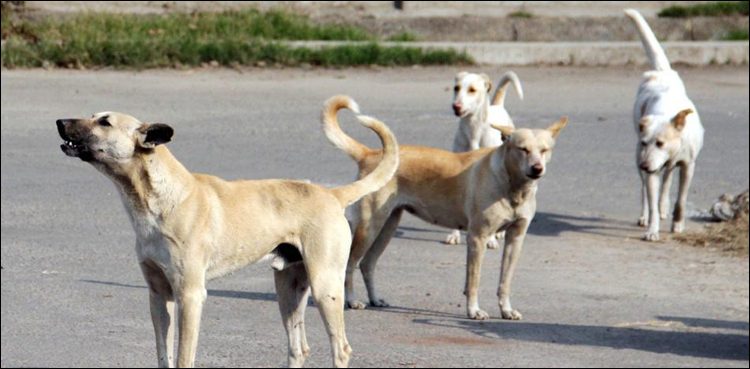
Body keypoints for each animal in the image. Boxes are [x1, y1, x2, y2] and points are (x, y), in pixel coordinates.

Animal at [55, 105, 402, 366]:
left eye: (104, 121)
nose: (59, 122)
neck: (159, 199)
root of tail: (331, 194)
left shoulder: (190, 296)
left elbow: (184, 358)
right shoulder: (158, 296)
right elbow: (163, 355)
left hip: (325, 287)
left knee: (341, 348)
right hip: (288, 289)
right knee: (298, 349)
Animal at [324, 95, 568, 320]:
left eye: (545, 150)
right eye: (522, 149)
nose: (537, 169)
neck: (512, 186)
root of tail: (370, 154)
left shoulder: (515, 239)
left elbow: (504, 282)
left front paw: (506, 310)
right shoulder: (477, 238)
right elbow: (473, 281)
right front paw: (474, 311)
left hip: (388, 226)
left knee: (367, 264)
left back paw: (375, 299)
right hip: (369, 227)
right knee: (350, 265)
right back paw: (352, 300)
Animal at [624, 9, 708, 242]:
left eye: (660, 143)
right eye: (646, 142)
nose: (644, 165)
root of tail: (661, 72)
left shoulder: (688, 166)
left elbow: (681, 199)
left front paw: (677, 224)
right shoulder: (649, 167)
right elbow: (651, 198)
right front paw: (652, 230)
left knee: (668, 181)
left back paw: (664, 208)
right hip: (640, 161)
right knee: (645, 190)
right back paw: (646, 216)